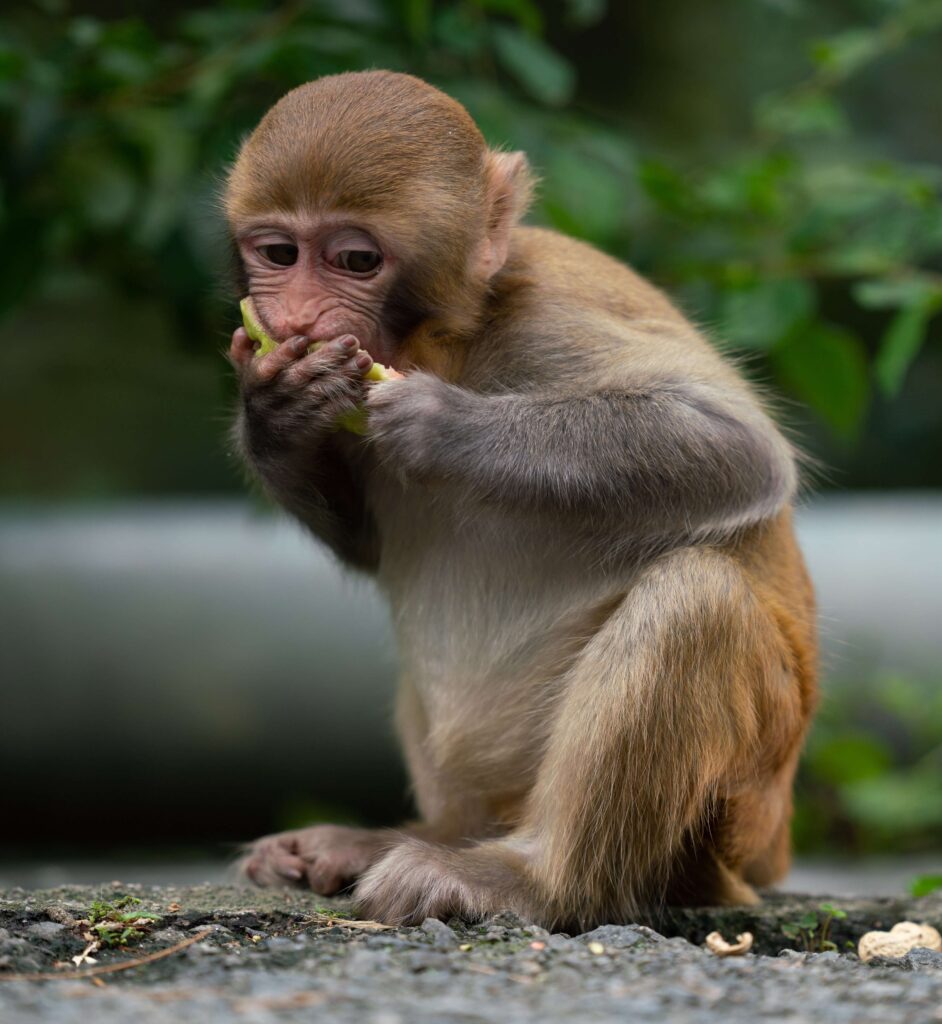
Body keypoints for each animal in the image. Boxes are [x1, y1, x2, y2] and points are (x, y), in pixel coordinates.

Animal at [225, 70, 817, 931]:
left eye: (355, 259)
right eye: (279, 253)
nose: (297, 318)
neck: (453, 341)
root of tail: (776, 843)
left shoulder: (551, 317)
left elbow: (738, 450)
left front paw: (444, 425)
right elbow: (366, 542)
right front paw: (274, 411)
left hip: (736, 816)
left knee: (695, 599)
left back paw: (525, 880)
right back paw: (403, 839)